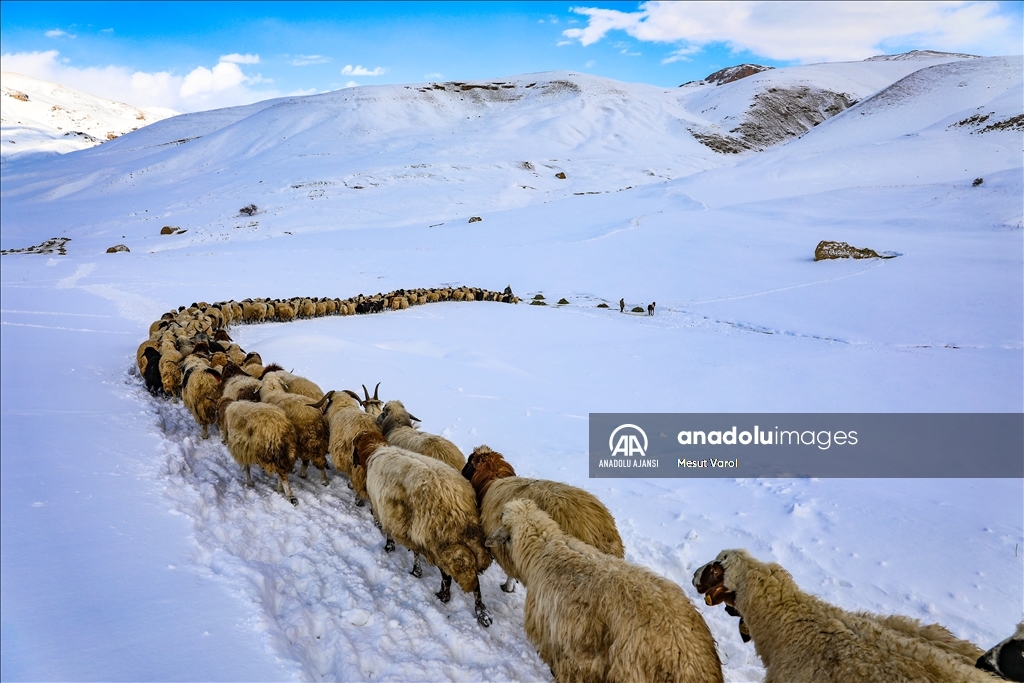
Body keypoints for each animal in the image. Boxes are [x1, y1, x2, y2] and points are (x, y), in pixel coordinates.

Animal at [352, 430, 491, 626]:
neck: (375, 451)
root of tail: (458, 505)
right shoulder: (411, 527)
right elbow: (415, 551)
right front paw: (416, 569)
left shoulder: (386, 512)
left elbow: (391, 536)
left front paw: (391, 550)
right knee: (476, 584)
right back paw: (482, 613)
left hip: (439, 542)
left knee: (447, 577)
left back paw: (443, 596)